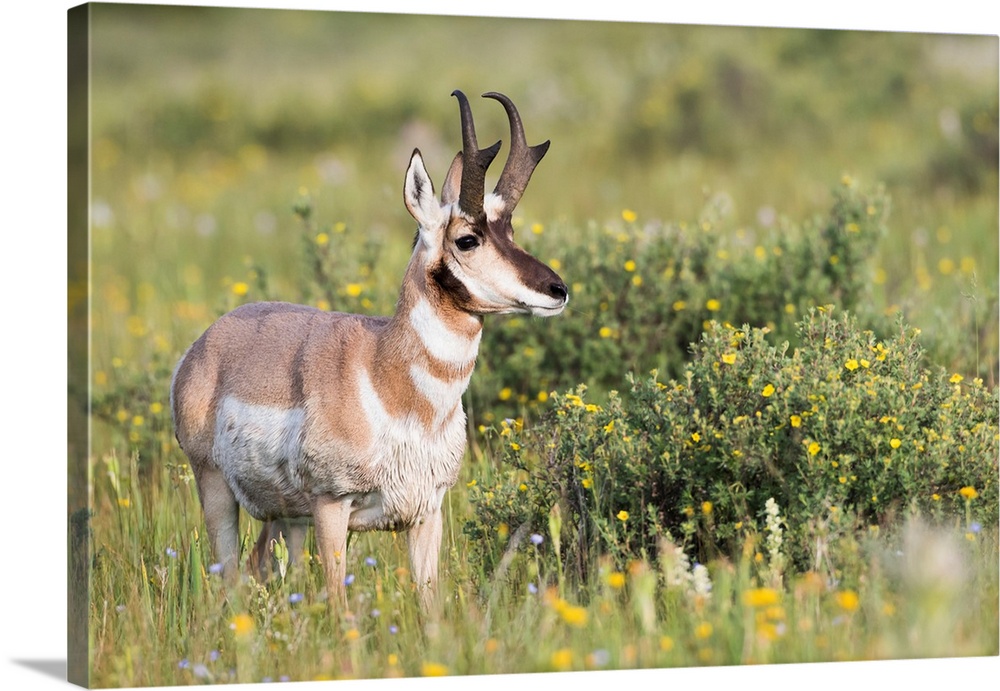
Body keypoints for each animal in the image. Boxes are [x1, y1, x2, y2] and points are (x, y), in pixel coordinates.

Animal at [168, 90, 568, 604]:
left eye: (511, 232)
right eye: (468, 239)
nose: (557, 290)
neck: (387, 377)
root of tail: (204, 344)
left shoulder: (427, 511)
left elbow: (429, 599)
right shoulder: (331, 505)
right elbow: (339, 602)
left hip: (286, 517)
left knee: (268, 566)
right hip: (218, 489)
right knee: (232, 576)